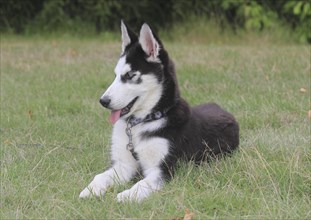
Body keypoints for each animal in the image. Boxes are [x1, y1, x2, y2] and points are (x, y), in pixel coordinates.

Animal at [79, 21, 240, 203]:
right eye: (116, 75)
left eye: (130, 75)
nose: (103, 101)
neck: (143, 122)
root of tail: (222, 109)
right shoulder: (124, 164)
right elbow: (100, 176)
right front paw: (91, 190)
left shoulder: (163, 170)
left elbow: (140, 185)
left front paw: (125, 196)